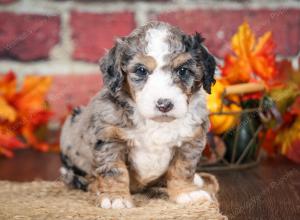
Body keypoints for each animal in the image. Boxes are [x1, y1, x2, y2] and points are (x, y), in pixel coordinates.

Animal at [59, 21, 216, 209]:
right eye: (141, 70)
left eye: (183, 70)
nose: (164, 104)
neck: (157, 123)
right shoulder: (109, 138)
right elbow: (114, 170)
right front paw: (116, 198)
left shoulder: (190, 140)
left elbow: (182, 168)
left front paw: (186, 192)